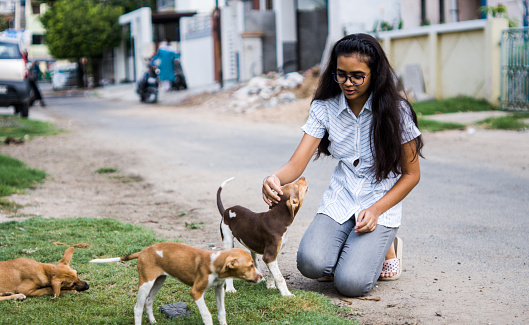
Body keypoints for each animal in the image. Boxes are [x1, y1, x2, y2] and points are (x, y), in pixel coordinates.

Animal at [91, 240, 264, 324]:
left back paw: (153, 321)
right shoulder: (196, 292)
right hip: (146, 283)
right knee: (137, 308)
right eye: (250, 266)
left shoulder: (219, 289)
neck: (215, 263)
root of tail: (143, 251)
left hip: (159, 280)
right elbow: (207, 314)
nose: (262, 277)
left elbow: (222, 313)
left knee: (148, 301)